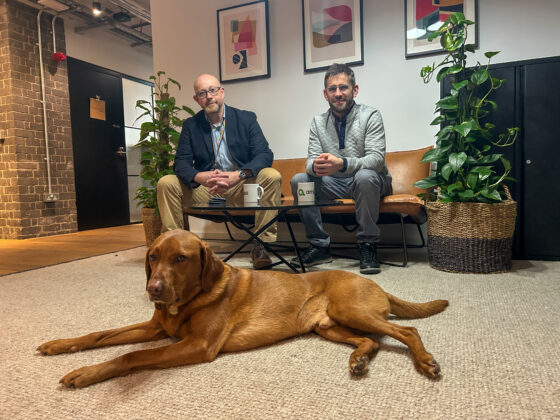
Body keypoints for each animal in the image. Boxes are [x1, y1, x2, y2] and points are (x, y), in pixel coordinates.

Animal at [38, 230, 450, 388]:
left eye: (181, 258)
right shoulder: (157, 327)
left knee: (406, 330)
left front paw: (86, 373)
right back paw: (359, 360)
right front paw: (59, 345)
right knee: (373, 342)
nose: (153, 290)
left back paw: (425, 361)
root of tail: (377, 284)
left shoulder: (198, 345)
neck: (186, 301)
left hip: (351, 310)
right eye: (152, 257)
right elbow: (99, 334)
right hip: (327, 326)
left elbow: (131, 357)